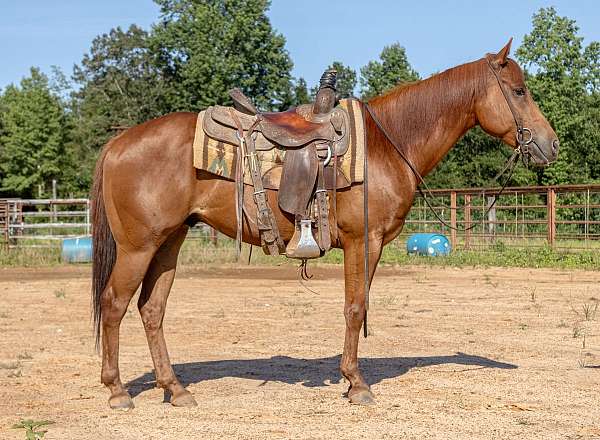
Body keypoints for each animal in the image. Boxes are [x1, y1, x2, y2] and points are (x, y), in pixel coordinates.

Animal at [90, 40, 556, 410]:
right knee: (113, 305)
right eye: (519, 91)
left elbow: (357, 306)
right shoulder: (363, 242)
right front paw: (357, 383)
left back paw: (175, 389)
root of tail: (117, 143)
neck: (388, 145)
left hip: (170, 242)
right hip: (138, 247)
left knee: (152, 310)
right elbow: (355, 307)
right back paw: (117, 392)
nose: (550, 144)